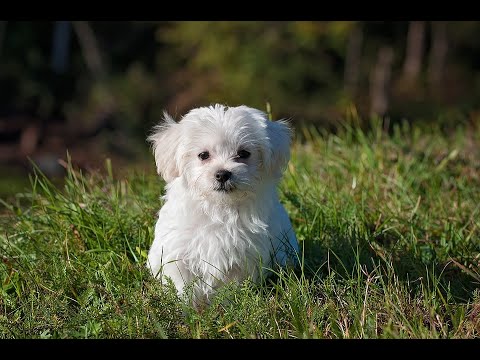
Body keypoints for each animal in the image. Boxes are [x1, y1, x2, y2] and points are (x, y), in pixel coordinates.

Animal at [147, 103, 296, 304]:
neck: (219, 207)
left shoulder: (243, 257)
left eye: (243, 153)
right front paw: (187, 308)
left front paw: (228, 305)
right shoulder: (178, 253)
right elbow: (183, 285)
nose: (222, 174)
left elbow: (231, 287)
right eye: (203, 155)